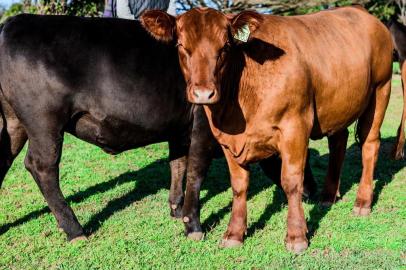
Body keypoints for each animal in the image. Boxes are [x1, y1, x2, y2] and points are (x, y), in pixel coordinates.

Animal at [142, 6, 394, 253]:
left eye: (225, 46)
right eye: (181, 46)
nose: (203, 93)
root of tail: (363, 13)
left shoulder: (295, 126)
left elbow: (291, 181)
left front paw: (296, 236)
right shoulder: (227, 140)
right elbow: (239, 185)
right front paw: (234, 233)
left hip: (381, 90)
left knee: (370, 145)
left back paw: (362, 203)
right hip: (338, 105)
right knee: (339, 141)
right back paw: (328, 196)